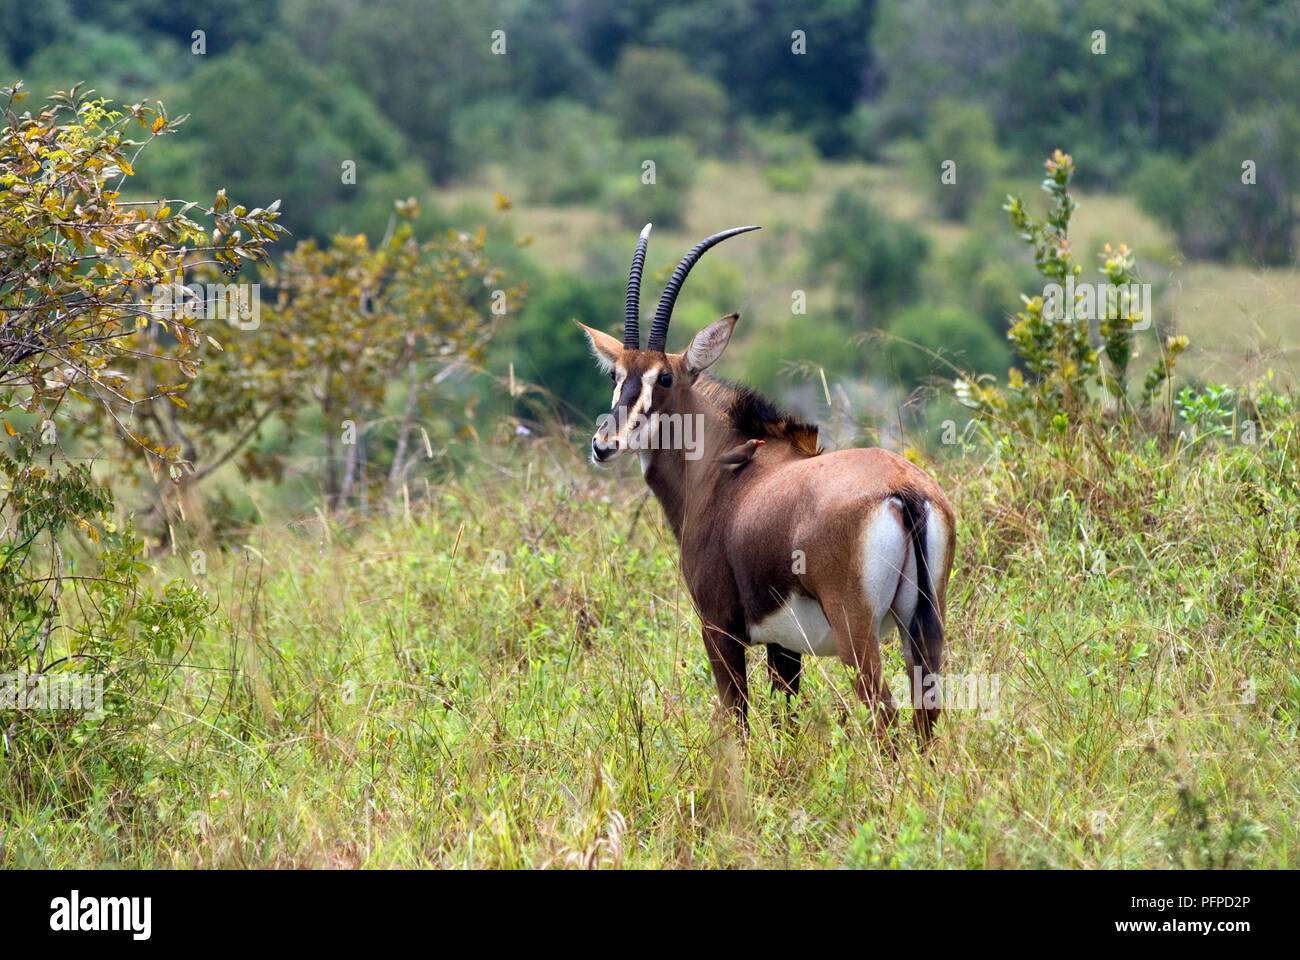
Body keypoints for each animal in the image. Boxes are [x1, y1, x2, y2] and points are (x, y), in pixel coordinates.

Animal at [579, 222, 956, 738]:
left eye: (665, 378)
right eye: (616, 375)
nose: (604, 443)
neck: (719, 466)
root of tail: (905, 491)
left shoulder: (719, 628)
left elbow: (736, 719)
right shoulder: (784, 646)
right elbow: (786, 718)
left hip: (856, 632)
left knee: (883, 714)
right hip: (922, 626)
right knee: (927, 717)